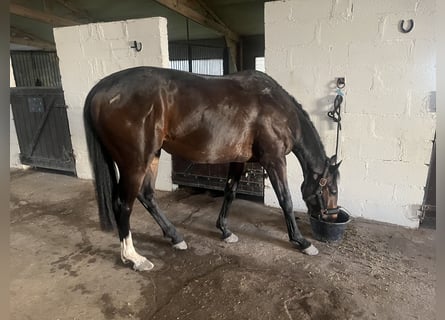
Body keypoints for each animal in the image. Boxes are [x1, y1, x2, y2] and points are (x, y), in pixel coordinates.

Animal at [84, 66, 340, 272]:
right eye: (333, 190)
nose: (332, 216)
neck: (277, 108)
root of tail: (101, 89)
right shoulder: (274, 160)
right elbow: (285, 200)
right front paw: (302, 242)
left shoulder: (238, 160)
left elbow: (230, 193)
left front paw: (225, 231)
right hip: (135, 162)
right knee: (124, 205)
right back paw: (135, 258)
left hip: (152, 156)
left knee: (147, 195)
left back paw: (175, 237)